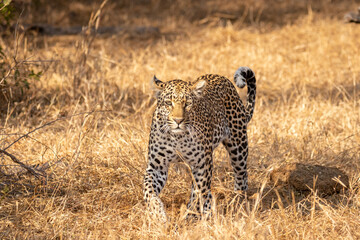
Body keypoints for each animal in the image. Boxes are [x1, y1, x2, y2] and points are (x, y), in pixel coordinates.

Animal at [143, 65, 256, 221]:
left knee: (241, 176)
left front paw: (193, 215)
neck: (178, 138)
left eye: (187, 104)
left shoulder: (202, 165)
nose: (178, 121)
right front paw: (157, 214)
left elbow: (199, 191)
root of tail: (221, 77)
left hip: (238, 146)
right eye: (168, 103)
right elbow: (149, 191)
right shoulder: (156, 166)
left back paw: (237, 200)